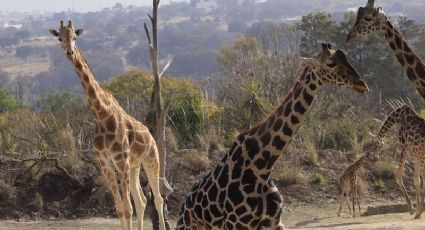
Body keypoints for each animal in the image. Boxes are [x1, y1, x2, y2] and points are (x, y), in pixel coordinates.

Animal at [48, 21, 164, 230]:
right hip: (135, 166)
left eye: (75, 37)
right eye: (60, 38)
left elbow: (128, 209)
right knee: (142, 200)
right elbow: (120, 209)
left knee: (158, 199)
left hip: (151, 159)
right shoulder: (105, 163)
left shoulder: (120, 160)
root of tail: (150, 135)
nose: (70, 52)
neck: (101, 114)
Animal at [176, 43, 368, 230]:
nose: (362, 84)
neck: (262, 167)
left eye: (346, 58)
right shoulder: (237, 224)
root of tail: (183, 206)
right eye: (331, 63)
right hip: (188, 226)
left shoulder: (274, 222)